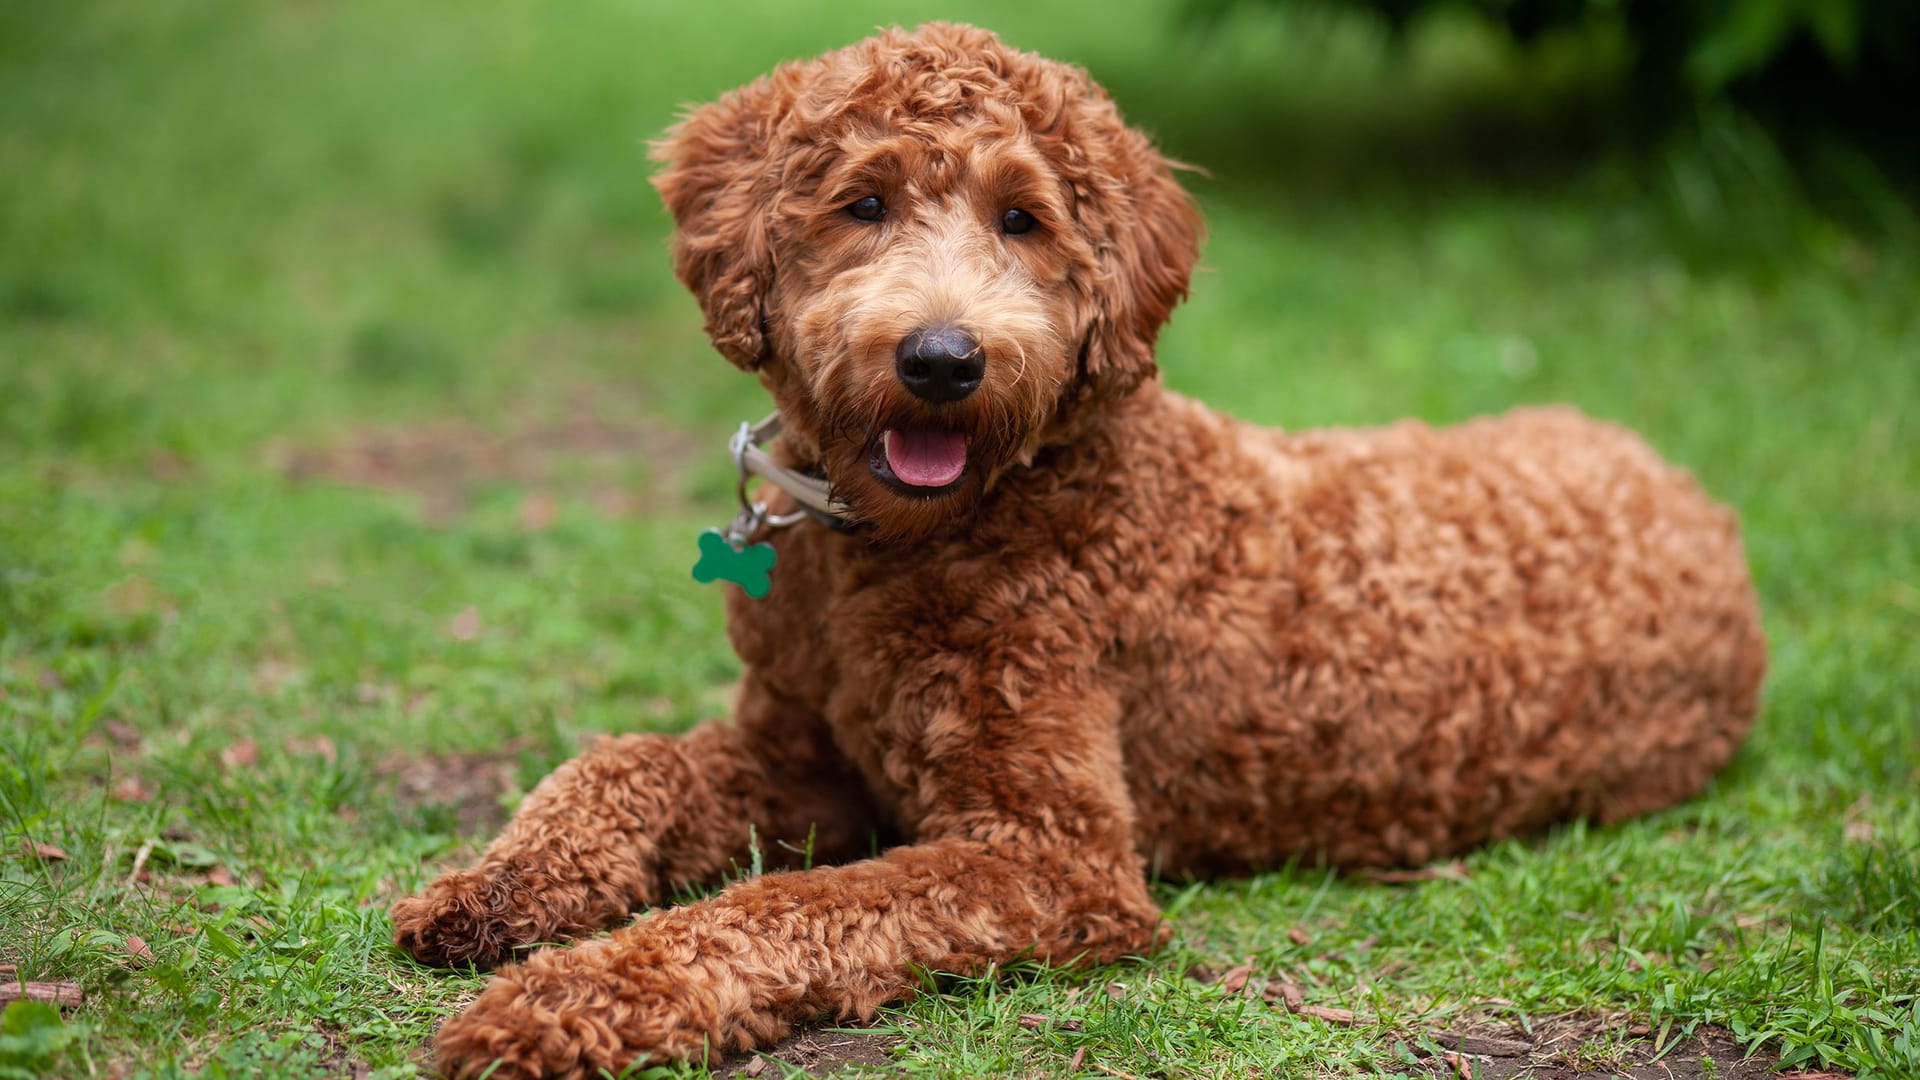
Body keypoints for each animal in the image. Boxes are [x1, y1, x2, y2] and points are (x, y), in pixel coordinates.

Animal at [393, 21, 1766, 1068]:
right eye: (864, 202)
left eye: (1023, 219)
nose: (943, 360)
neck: (913, 539)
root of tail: (1690, 491)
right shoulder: (802, 755)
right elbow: (623, 762)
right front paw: (494, 888)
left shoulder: (1050, 854)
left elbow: (790, 905)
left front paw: (564, 998)